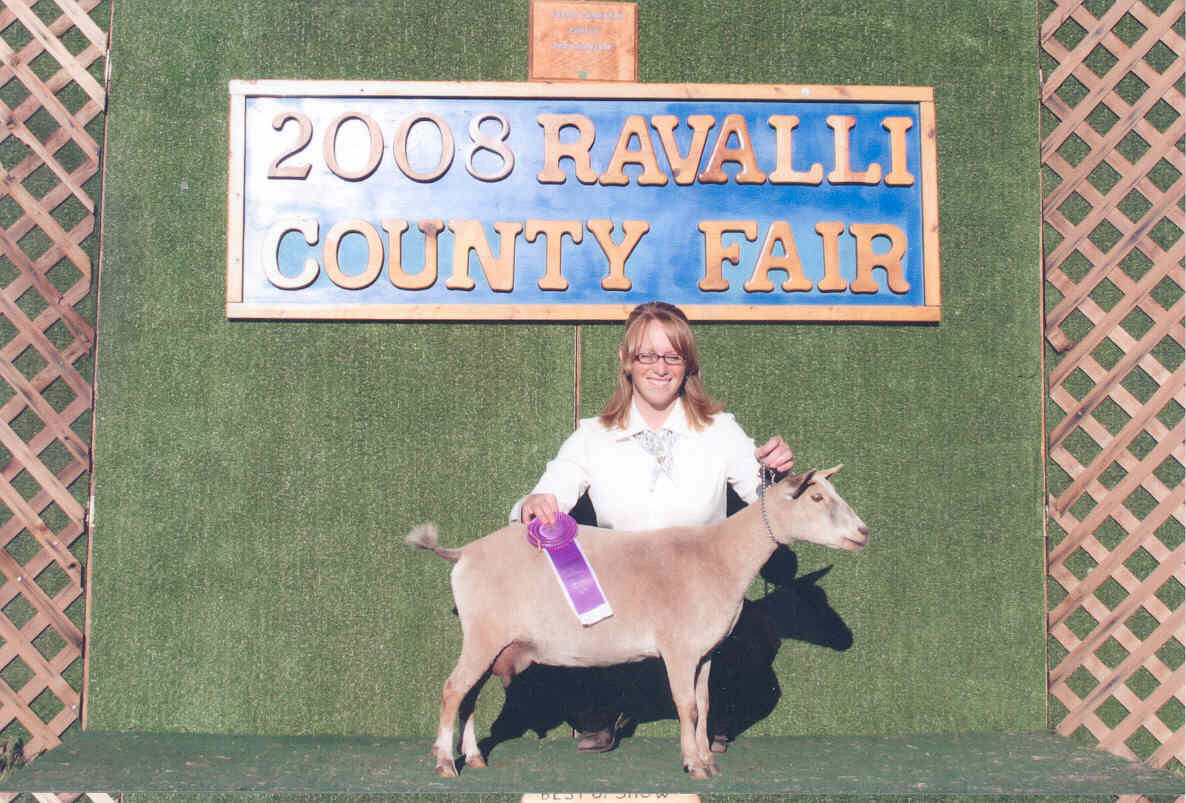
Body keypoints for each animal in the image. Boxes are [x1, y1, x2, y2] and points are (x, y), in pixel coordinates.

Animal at [407, 462, 872, 778]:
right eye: (817, 498)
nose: (863, 532)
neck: (721, 557)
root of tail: (463, 553)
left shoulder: (704, 653)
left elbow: (704, 704)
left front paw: (707, 759)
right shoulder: (679, 649)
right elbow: (686, 705)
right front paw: (693, 765)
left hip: (494, 643)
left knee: (469, 697)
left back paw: (475, 758)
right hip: (483, 635)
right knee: (453, 690)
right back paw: (445, 762)